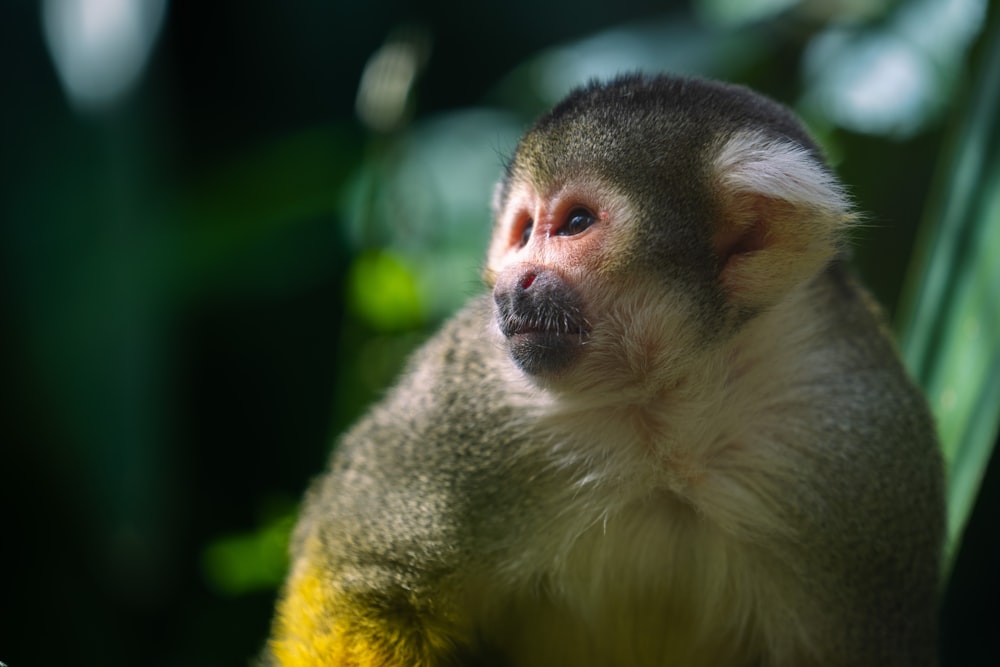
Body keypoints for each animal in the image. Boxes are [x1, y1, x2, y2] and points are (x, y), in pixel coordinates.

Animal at [266, 74, 944, 667]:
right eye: (521, 232)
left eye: (575, 224)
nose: (514, 283)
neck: (672, 407)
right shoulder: (477, 391)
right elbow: (369, 583)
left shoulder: (854, 431)